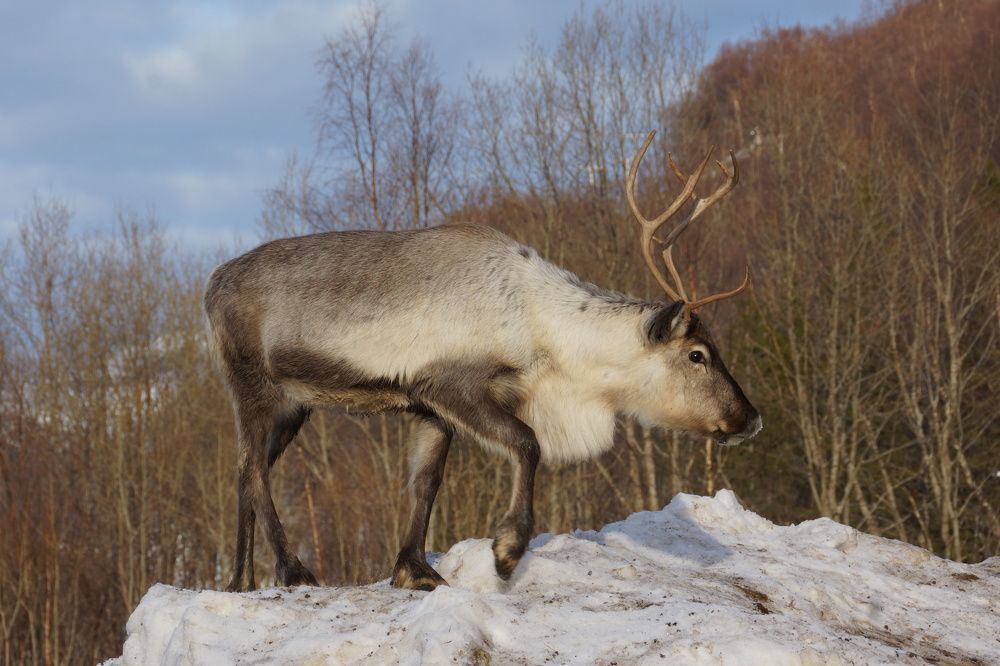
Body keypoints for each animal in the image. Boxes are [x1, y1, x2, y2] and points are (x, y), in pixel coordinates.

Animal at [204, 130, 761, 592]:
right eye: (697, 354)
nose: (751, 418)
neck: (544, 335)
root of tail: (210, 287)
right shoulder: (451, 386)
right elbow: (527, 441)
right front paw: (507, 550)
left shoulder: (429, 410)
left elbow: (426, 482)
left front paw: (415, 570)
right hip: (253, 383)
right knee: (252, 470)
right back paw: (291, 569)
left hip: (295, 405)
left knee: (246, 470)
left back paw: (239, 581)